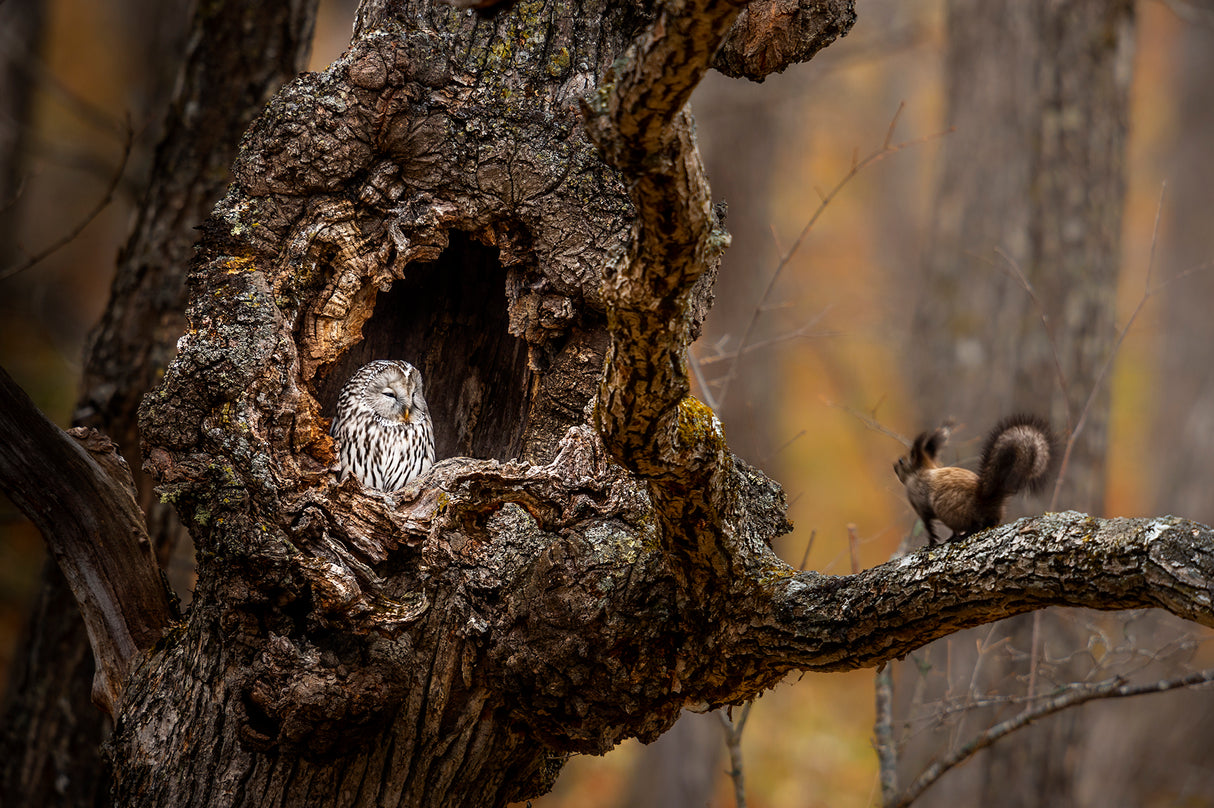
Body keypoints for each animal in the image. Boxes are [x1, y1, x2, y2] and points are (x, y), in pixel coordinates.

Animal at [894, 414, 1058, 546]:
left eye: (902, 461)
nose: (894, 466)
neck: (919, 473)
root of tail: (987, 500)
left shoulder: (920, 505)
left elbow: (928, 525)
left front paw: (932, 541)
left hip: (950, 510)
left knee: (975, 525)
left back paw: (963, 535)